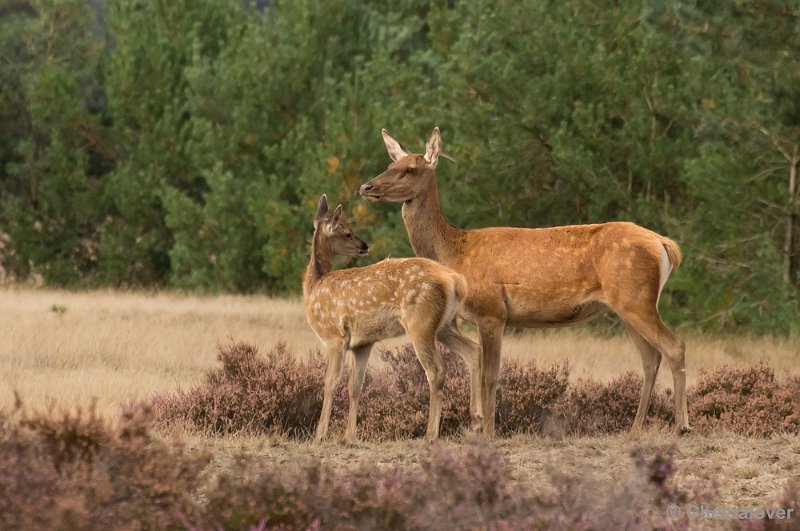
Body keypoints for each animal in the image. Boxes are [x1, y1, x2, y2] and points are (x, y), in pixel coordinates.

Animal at [302, 195, 482, 444]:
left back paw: (431, 434)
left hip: (420, 321)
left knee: (436, 370)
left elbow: (330, 383)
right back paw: (477, 422)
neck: (314, 286)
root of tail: (454, 281)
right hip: (445, 324)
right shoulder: (362, 343)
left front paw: (319, 435)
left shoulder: (334, 336)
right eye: (347, 233)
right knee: (473, 350)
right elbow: (355, 387)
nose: (364, 245)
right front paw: (349, 437)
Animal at [360, 128, 692, 436]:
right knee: (650, 358)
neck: (455, 253)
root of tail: (665, 245)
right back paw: (635, 429)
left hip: (635, 297)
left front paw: (490, 432)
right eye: (391, 163)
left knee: (674, 345)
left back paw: (682, 426)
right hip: (626, 305)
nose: (367, 186)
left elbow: (492, 375)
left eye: (410, 169)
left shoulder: (492, 311)